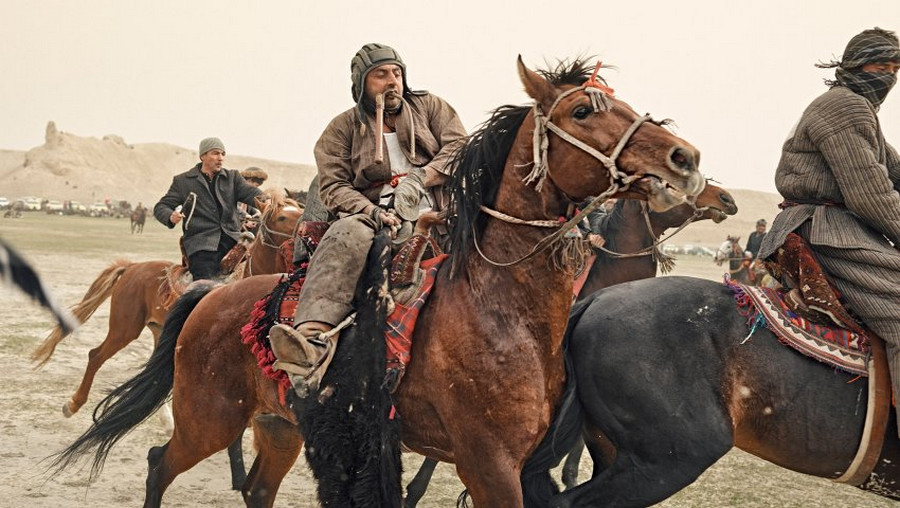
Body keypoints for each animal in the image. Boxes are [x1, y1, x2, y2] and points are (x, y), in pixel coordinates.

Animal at [52, 57, 708, 506]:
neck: (500, 313)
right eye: (582, 111)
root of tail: (211, 297)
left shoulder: (527, 461)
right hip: (208, 417)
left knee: (257, 488)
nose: (686, 158)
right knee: (159, 462)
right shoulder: (490, 465)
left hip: (280, 425)